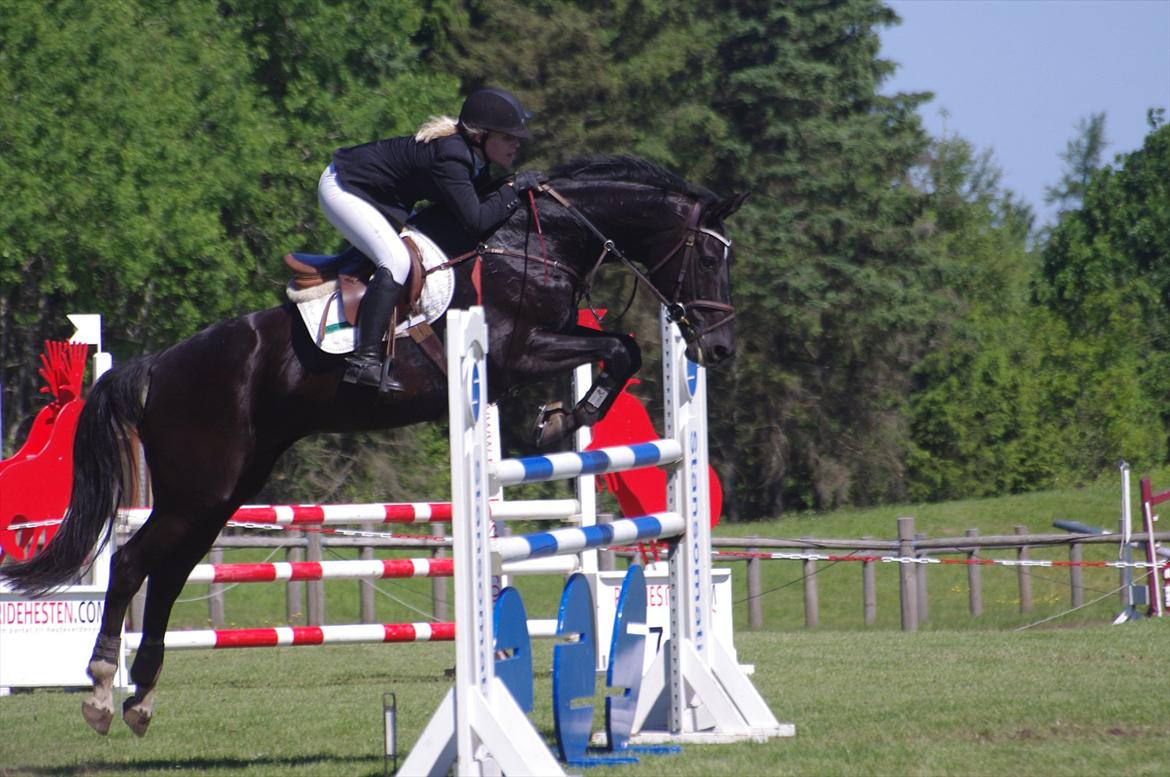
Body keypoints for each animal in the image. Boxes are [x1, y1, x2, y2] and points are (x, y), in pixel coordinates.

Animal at [0, 154, 748, 739]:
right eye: (708, 254)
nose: (718, 348)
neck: (535, 241)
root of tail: (158, 365)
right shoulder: (517, 351)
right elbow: (620, 347)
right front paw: (566, 417)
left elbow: (621, 346)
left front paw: (564, 413)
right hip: (200, 490)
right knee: (131, 563)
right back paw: (102, 691)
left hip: (219, 493)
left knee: (170, 571)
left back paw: (141, 699)